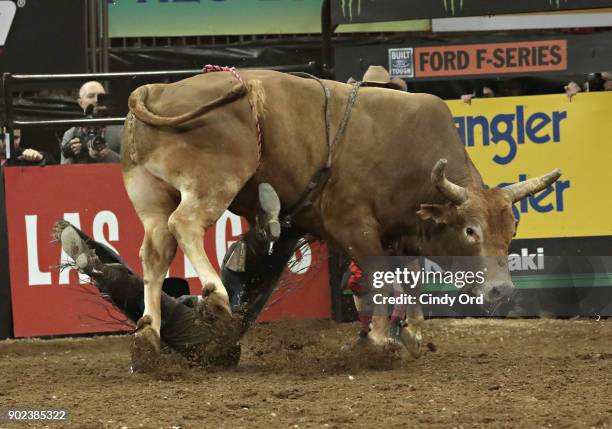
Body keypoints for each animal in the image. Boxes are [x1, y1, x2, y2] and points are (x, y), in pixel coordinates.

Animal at [119, 70, 560, 358]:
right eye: (470, 231)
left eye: (512, 230)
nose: (501, 291)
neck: (408, 154)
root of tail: (156, 88)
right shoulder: (353, 226)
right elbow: (380, 278)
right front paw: (379, 341)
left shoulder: (404, 233)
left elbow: (410, 278)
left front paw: (412, 333)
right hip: (214, 182)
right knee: (185, 224)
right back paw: (214, 295)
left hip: (151, 194)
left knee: (155, 253)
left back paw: (148, 334)